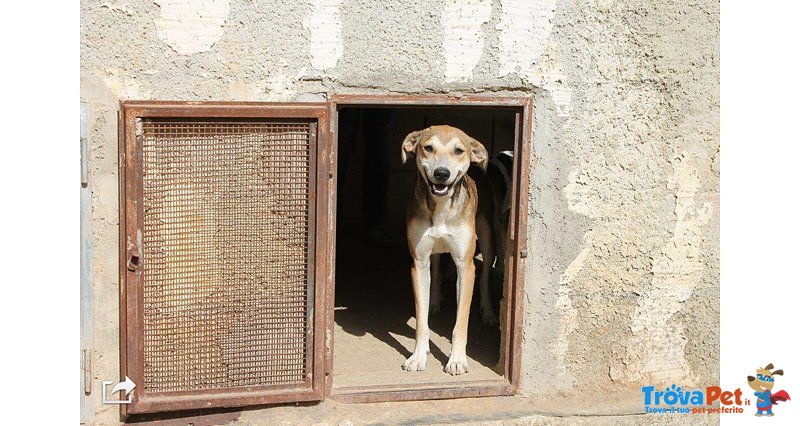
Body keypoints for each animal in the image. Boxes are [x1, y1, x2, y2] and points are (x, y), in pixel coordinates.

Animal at [398, 125, 494, 374]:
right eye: (428, 148)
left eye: (458, 151)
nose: (442, 173)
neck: (441, 207)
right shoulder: (419, 263)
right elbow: (421, 322)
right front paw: (418, 357)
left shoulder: (465, 267)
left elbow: (460, 324)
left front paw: (457, 360)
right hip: (434, 252)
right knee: (437, 269)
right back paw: (434, 301)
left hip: (487, 236)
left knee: (485, 276)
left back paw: (488, 311)